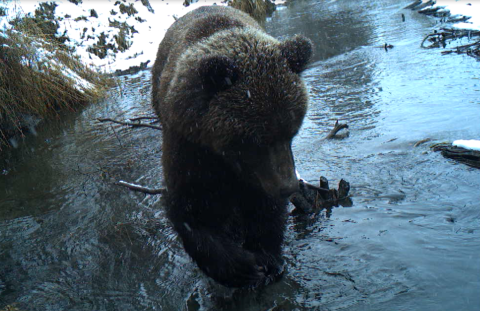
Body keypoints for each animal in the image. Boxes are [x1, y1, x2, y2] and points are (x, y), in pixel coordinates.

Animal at [152, 4, 314, 288]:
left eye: (292, 131)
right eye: (255, 139)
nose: (288, 187)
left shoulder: (259, 172)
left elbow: (264, 206)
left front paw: (267, 257)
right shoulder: (189, 146)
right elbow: (191, 210)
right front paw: (241, 267)